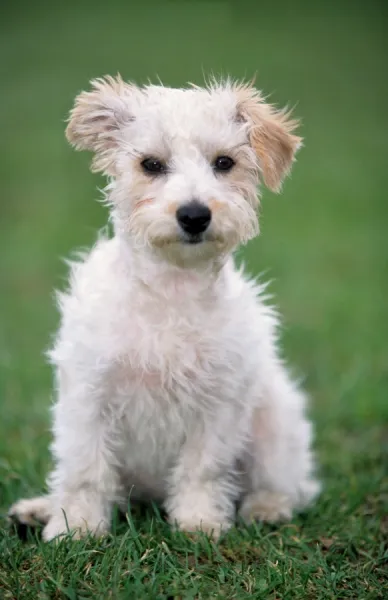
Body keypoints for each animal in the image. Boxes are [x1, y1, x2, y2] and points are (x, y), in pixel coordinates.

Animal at [9, 75, 320, 540]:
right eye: (151, 165)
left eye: (224, 162)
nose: (194, 215)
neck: (171, 288)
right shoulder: (88, 396)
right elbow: (85, 470)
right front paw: (75, 527)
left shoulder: (218, 403)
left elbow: (203, 469)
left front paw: (198, 522)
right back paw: (39, 509)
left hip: (275, 421)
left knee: (288, 483)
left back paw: (266, 507)